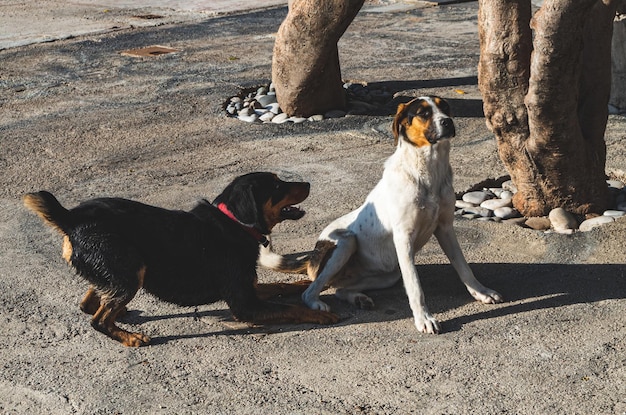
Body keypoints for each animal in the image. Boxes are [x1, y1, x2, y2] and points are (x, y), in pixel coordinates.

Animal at [24, 172, 336, 348]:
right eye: (277, 186)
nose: (308, 182)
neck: (235, 222)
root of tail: (71, 217)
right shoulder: (245, 304)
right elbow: (289, 307)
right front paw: (320, 314)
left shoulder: (249, 287)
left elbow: (282, 286)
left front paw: (304, 283)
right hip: (131, 267)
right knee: (98, 319)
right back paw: (129, 337)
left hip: (119, 266)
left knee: (90, 301)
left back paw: (119, 314)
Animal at [260, 97, 500, 334]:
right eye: (423, 113)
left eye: (446, 107)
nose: (448, 122)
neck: (428, 170)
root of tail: (312, 257)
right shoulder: (403, 237)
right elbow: (415, 286)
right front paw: (424, 318)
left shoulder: (445, 228)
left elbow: (463, 267)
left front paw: (481, 292)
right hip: (346, 242)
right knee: (309, 291)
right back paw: (318, 303)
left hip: (389, 274)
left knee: (339, 289)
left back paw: (359, 298)